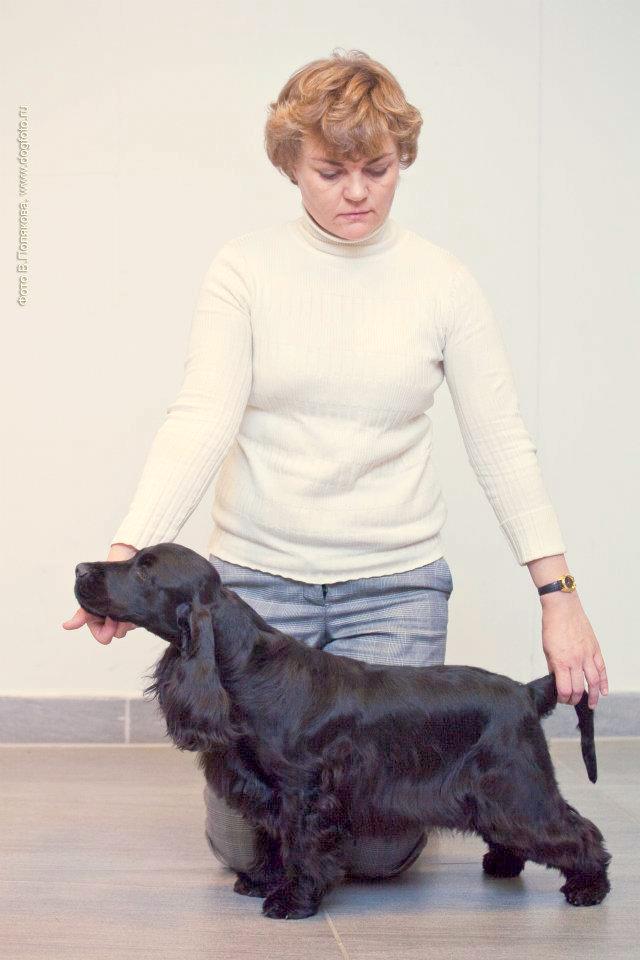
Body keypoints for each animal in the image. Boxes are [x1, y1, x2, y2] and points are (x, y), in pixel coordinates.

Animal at [74, 542, 612, 919]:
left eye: (145, 568)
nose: (80, 569)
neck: (245, 666)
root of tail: (526, 690)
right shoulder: (267, 788)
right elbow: (271, 837)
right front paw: (260, 881)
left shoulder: (304, 789)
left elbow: (300, 845)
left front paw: (291, 900)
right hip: (496, 796)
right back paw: (504, 864)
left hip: (517, 787)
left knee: (577, 830)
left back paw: (589, 887)